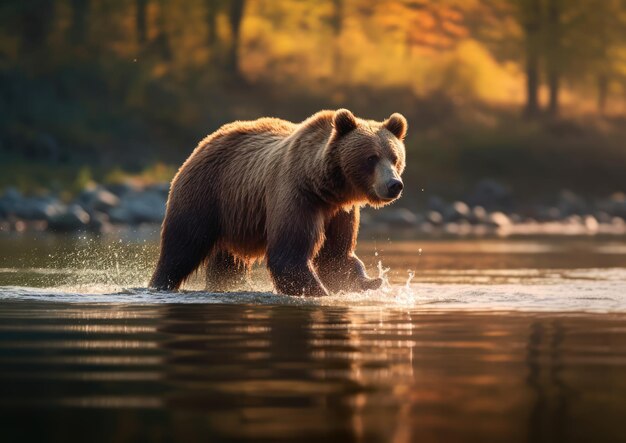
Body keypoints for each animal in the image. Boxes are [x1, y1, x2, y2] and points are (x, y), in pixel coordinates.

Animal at [149, 109, 408, 296]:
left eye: (395, 157)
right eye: (371, 158)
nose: (394, 184)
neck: (326, 187)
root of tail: (205, 141)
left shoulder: (340, 212)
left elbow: (336, 255)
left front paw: (371, 281)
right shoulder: (296, 196)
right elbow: (289, 255)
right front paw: (320, 292)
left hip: (233, 216)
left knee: (227, 262)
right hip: (205, 194)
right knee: (181, 247)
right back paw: (160, 283)